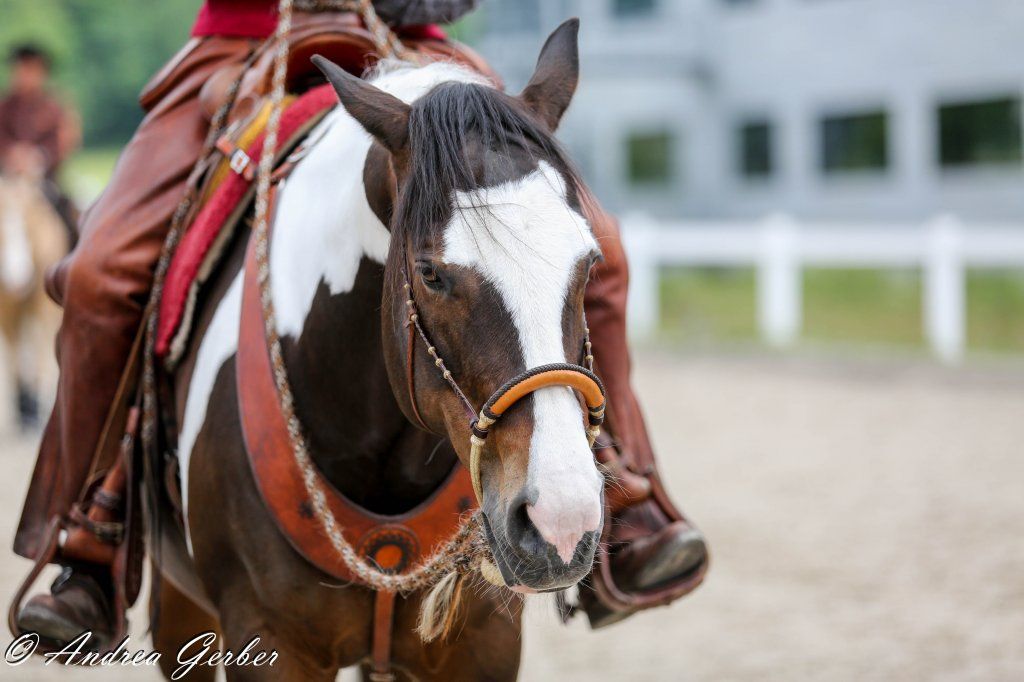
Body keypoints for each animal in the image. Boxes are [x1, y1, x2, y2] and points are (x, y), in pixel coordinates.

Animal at [0, 172, 66, 429]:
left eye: (28, 224)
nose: (16, 277)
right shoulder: (6, 308)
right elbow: (15, 351)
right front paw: (23, 406)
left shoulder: (43, 307)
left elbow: (39, 348)